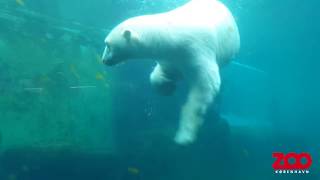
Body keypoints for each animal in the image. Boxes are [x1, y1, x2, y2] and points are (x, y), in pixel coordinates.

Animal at [102, 0, 240, 144]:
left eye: (107, 44)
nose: (104, 60)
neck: (170, 34)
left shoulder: (196, 49)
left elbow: (206, 85)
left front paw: (185, 136)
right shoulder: (171, 57)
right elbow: (165, 72)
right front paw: (167, 87)